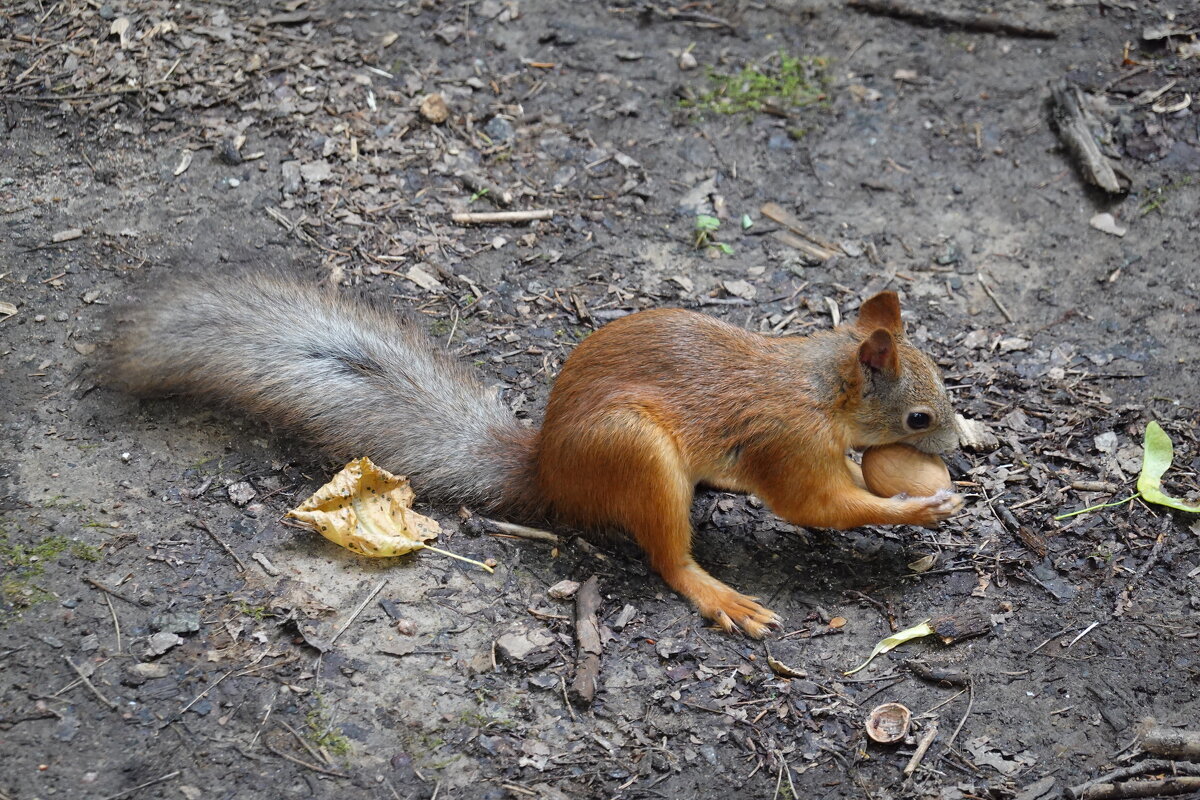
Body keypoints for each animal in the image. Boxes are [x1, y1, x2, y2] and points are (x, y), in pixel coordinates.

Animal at [108, 275, 960, 638]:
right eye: (918, 416)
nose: (959, 445)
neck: (819, 387)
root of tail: (549, 469)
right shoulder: (791, 444)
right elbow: (820, 505)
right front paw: (923, 504)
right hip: (637, 456)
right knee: (668, 557)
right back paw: (718, 594)